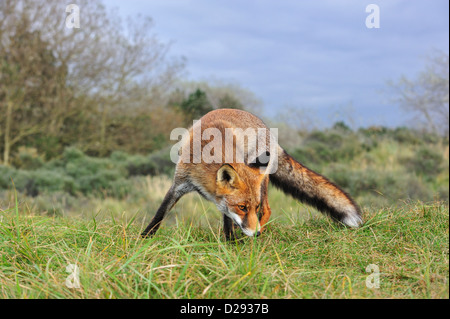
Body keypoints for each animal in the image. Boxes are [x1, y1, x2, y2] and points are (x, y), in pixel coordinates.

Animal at [142, 109, 364, 239]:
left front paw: (230, 244)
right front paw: (145, 239)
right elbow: (159, 214)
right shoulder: (179, 184)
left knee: (267, 210)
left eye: (251, 207)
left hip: (263, 180)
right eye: (242, 207)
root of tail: (270, 133)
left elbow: (228, 221)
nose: (255, 234)